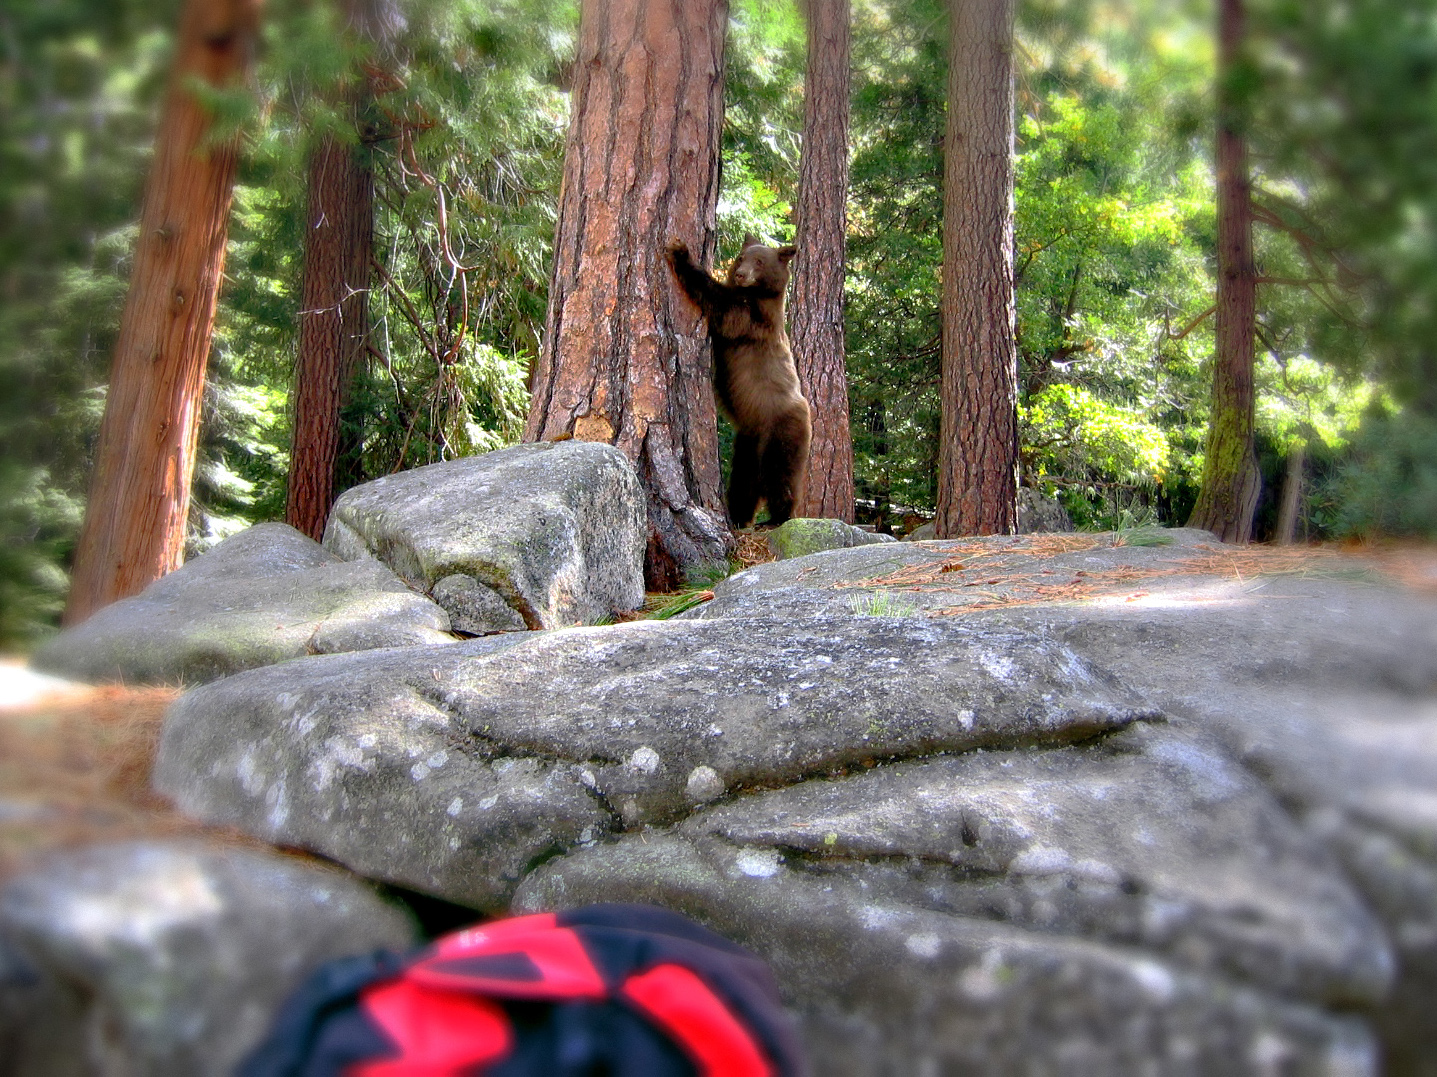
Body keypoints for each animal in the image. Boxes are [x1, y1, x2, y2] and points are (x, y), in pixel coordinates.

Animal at [666, 232, 816, 526]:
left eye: (760, 261)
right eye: (741, 257)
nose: (741, 274)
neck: (756, 294)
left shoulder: (754, 319)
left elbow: (723, 309)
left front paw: (681, 253)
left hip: (781, 430)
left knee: (780, 476)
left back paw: (777, 518)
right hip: (748, 442)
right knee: (744, 482)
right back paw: (738, 516)